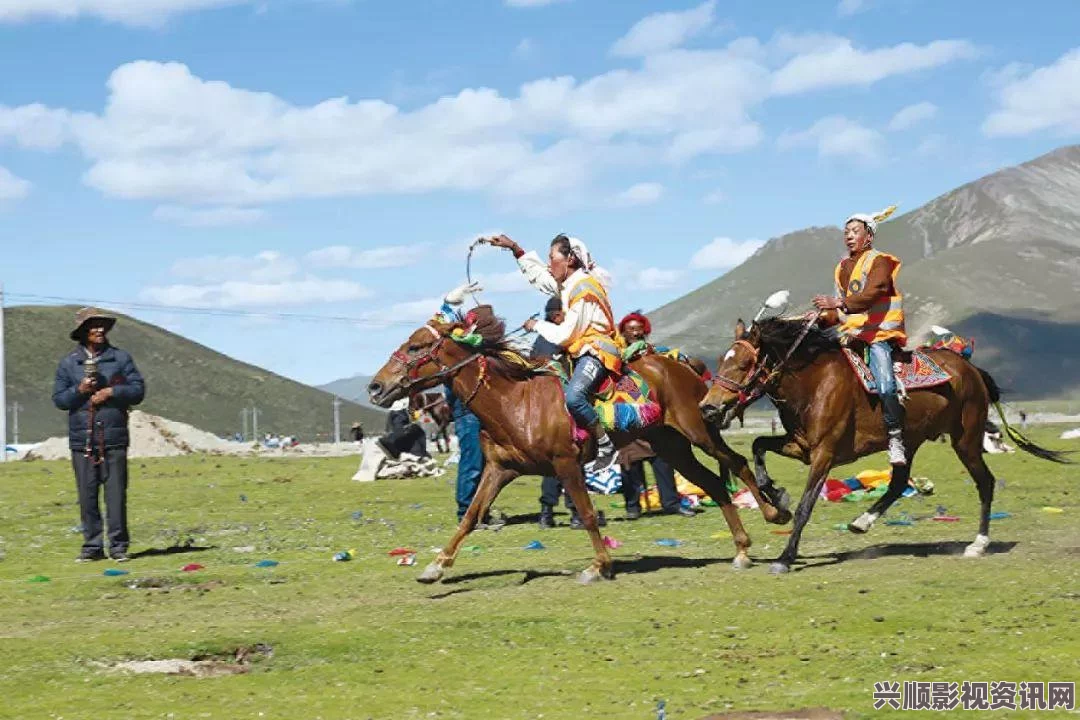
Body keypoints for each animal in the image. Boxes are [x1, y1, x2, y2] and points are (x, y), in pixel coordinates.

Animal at [367, 306, 790, 582]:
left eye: (418, 347)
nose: (375, 387)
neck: (513, 402)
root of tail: (682, 365)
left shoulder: (565, 464)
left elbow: (586, 514)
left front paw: (599, 566)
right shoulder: (500, 469)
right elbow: (471, 515)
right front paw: (436, 565)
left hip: (700, 431)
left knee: (736, 463)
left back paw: (774, 513)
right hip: (671, 446)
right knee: (715, 483)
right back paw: (741, 548)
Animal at [699, 317, 1071, 578]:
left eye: (743, 364)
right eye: (720, 361)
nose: (708, 408)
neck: (813, 383)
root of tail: (971, 368)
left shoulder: (824, 454)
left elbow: (806, 506)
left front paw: (785, 557)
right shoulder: (801, 445)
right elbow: (758, 446)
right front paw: (776, 497)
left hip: (964, 439)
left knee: (985, 482)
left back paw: (978, 544)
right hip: (910, 440)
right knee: (899, 482)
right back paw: (862, 522)